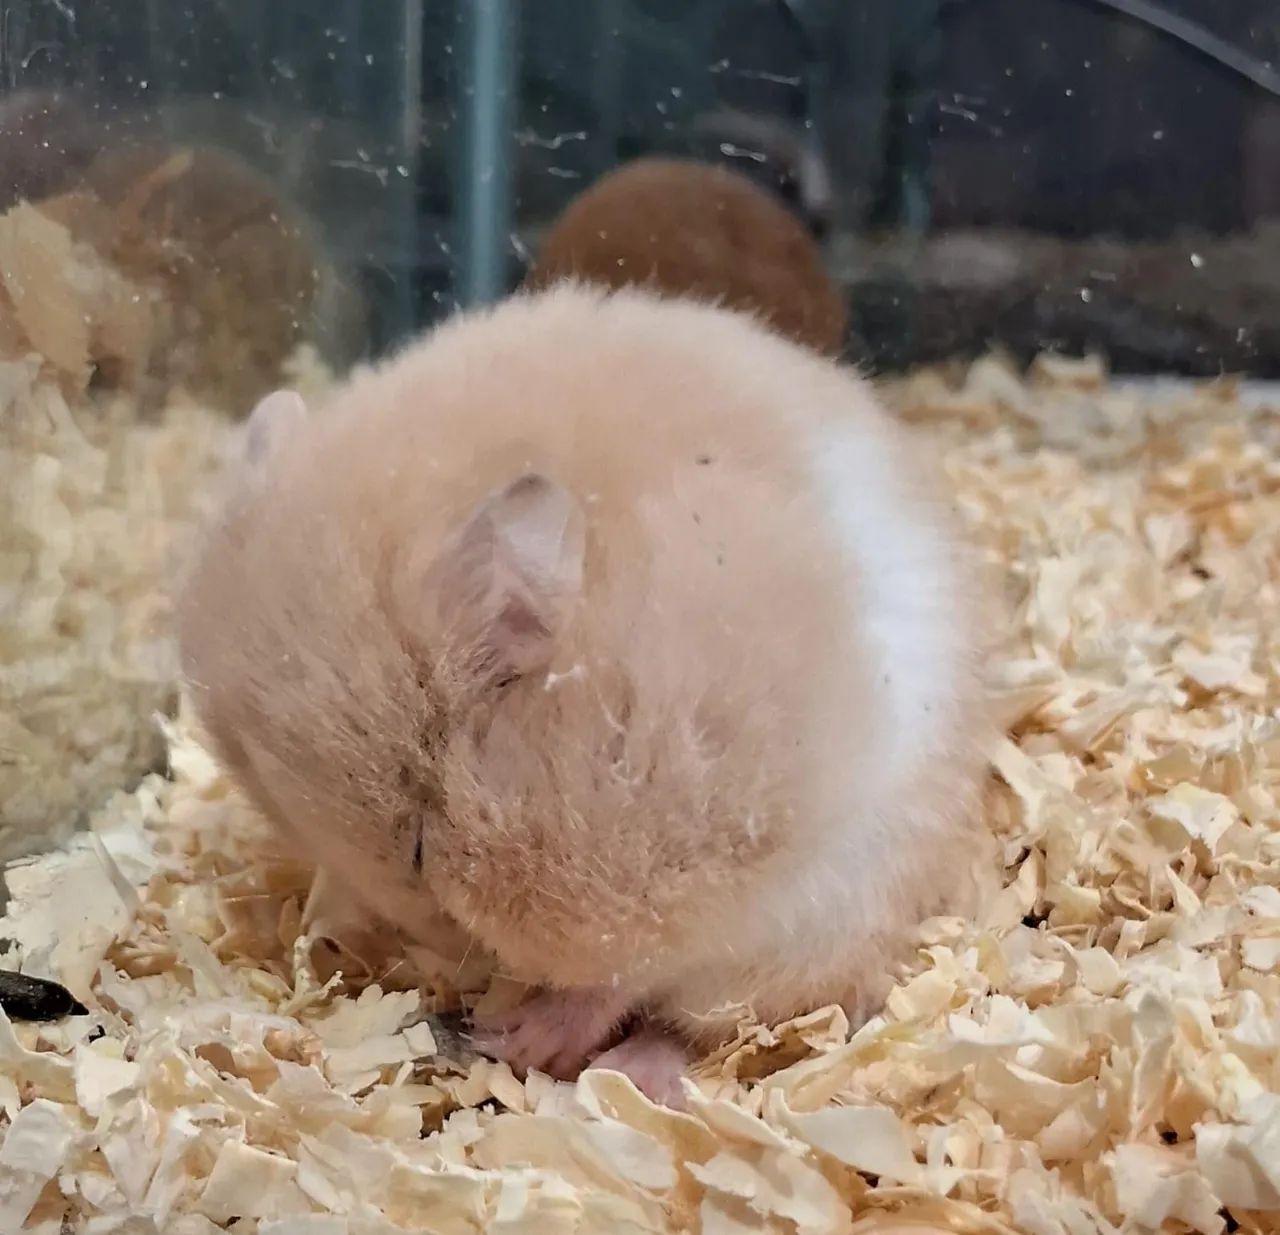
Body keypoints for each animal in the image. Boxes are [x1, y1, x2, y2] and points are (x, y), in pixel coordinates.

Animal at [177, 283, 990, 1105]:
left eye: (417, 850)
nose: (441, 953)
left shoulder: (729, 869)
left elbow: (623, 976)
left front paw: (518, 1031)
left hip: (825, 928)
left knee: (699, 1023)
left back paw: (613, 1066)